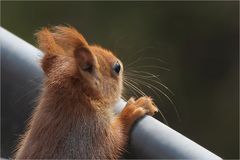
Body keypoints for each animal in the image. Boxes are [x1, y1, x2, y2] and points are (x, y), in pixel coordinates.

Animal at [14, 26, 158, 159]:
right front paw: (132, 110)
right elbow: (114, 142)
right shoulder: (89, 133)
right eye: (117, 68)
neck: (75, 99)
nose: (120, 63)